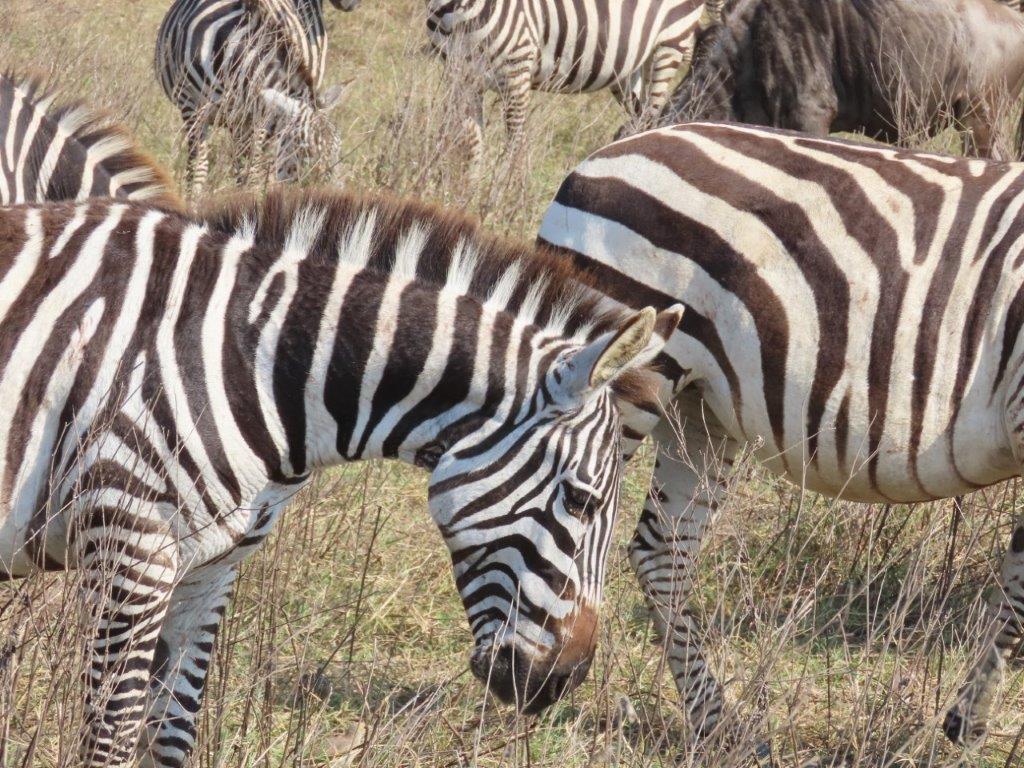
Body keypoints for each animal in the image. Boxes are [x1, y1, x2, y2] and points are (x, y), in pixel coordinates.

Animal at [0, 187, 681, 766]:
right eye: (581, 501)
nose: (560, 683)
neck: (248, 360)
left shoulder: (209, 568)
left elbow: (170, 737)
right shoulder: (128, 553)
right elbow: (112, 740)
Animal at [155, 0, 356, 198]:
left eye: (338, 148)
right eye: (307, 150)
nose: (337, 196)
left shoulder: (258, 119)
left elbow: (252, 169)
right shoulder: (192, 108)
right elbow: (198, 168)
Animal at [424, 0, 710, 160]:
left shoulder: (517, 73)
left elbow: (515, 144)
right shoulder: (461, 77)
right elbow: (471, 140)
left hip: (670, 41)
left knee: (651, 115)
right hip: (631, 67)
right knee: (641, 119)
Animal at [538, 121, 1024, 746]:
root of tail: (591, 162)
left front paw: (970, 716)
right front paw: (968, 718)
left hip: (700, 411)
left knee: (661, 550)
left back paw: (718, 727)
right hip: (620, 376)